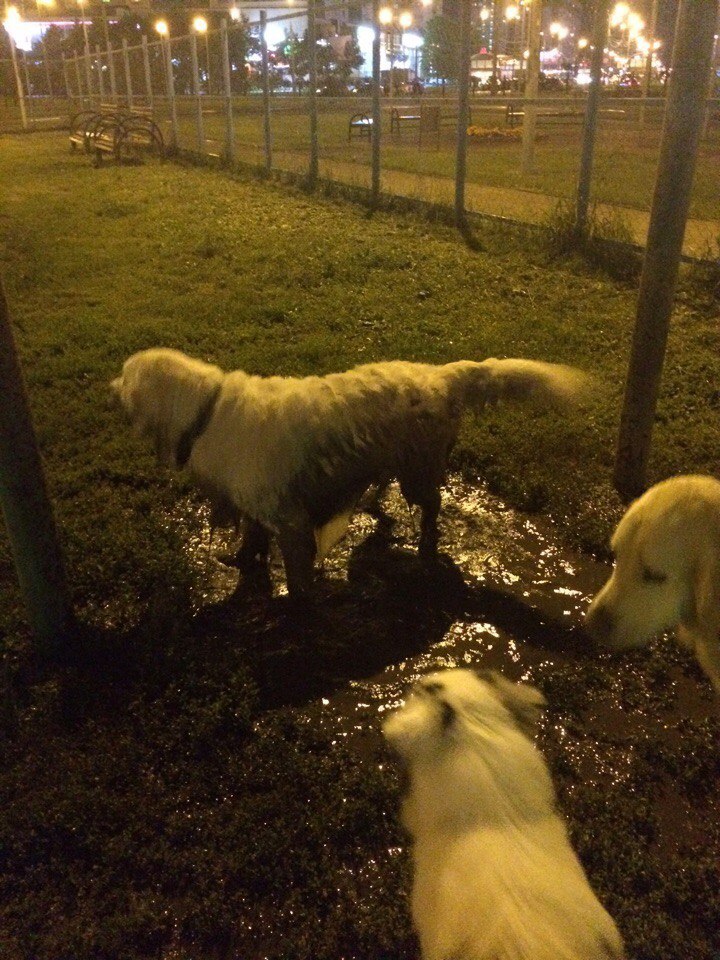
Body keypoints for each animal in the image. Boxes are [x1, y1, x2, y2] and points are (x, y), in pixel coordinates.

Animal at [111, 348, 584, 596]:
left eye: (125, 375)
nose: (107, 387)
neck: (207, 411)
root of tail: (440, 376)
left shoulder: (291, 521)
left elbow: (297, 578)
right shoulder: (259, 507)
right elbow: (252, 540)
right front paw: (243, 560)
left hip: (418, 471)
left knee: (433, 505)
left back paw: (425, 540)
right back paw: (375, 505)